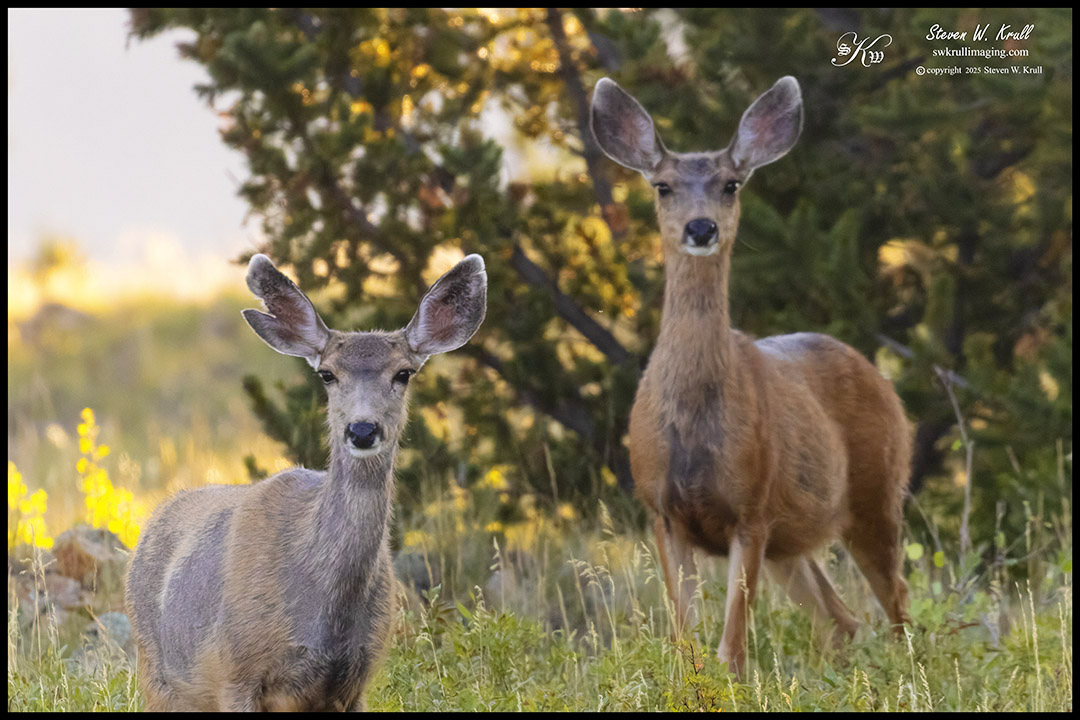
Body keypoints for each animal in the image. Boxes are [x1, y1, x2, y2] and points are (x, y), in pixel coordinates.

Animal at [124, 252, 487, 710]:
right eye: (327, 374)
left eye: (404, 373)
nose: (362, 430)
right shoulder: (233, 670)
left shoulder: (357, 679)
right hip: (155, 668)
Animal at [590, 76, 912, 678]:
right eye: (663, 186)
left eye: (731, 184)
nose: (701, 227)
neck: (693, 421)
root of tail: (884, 382)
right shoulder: (662, 511)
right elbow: (685, 638)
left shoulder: (753, 507)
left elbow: (731, 647)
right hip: (795, 539)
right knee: (843, 618)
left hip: (876, 492)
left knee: (896, 605)